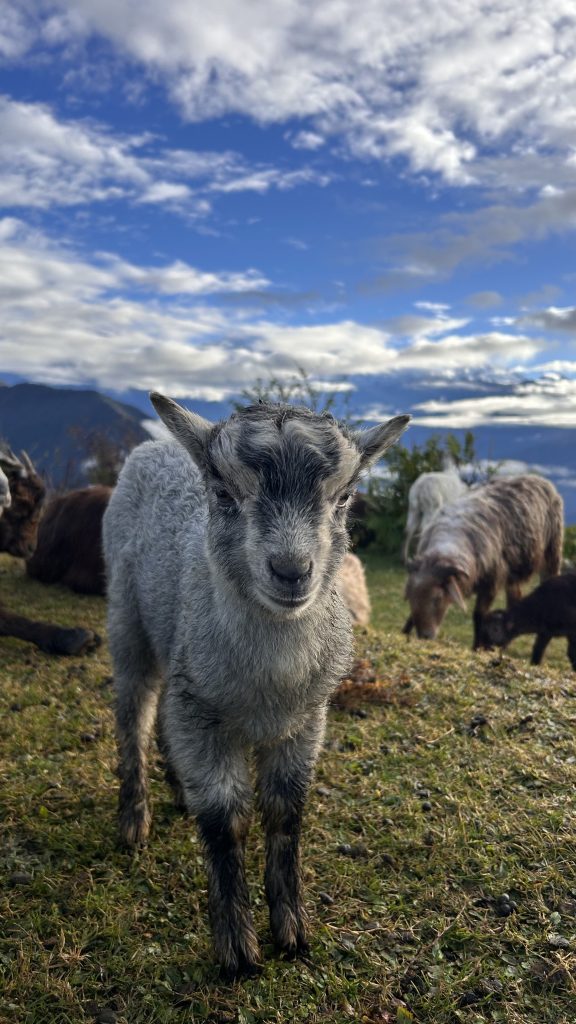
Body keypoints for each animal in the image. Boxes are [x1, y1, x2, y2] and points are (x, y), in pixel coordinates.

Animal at [103, 395, 409, 976]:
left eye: (344, 498)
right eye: (224, 494)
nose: (292, 570)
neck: (271, 677)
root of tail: (155, 446)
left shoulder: (306, 721)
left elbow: (286, 812)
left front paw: (291, 930)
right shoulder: (200, 712)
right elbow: (225, 821)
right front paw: (238, 951)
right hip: (127, 620)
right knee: (135, 713)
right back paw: (134, 817)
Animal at [403, 474, 563, 649]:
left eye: (438, 598)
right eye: (411, 596)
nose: (425, 635)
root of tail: (536, 477)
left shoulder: (491, 581)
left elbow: (479, 615)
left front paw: (477, 647)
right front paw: (405, 631)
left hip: (551, 553)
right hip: (512, 571)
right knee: (514, 599)